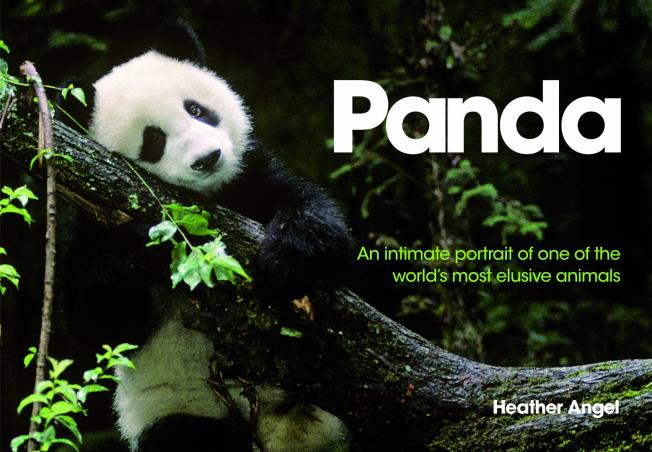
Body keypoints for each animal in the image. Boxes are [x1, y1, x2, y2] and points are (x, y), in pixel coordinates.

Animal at [57, 24, 351, 452]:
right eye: (153, 140)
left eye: (196, 110)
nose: (207, 159)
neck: (211, 196)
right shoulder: (91, 210)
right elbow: (99, 325)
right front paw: (147, 244)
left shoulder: (248, 175)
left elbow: (319, 221)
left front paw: (284, 262)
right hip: (178, 407)